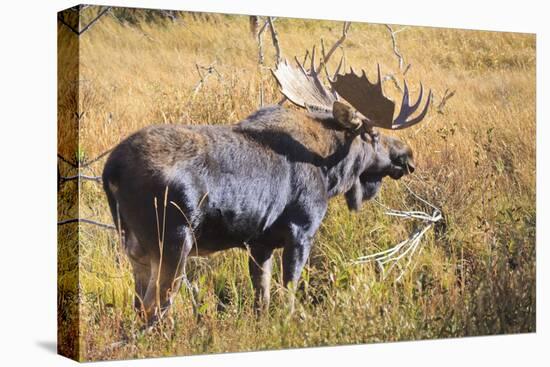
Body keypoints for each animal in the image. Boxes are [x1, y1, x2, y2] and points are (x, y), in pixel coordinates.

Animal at [102, 54, 432, 324]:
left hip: (134, 245)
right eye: (373, 135)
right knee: (155, 306)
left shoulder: (259, 242)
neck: (330, 173)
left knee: (138, 304)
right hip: (172, 239)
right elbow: (289, 292)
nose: (407, 156)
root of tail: (111, 171)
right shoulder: (301, 230)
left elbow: (262, 297)